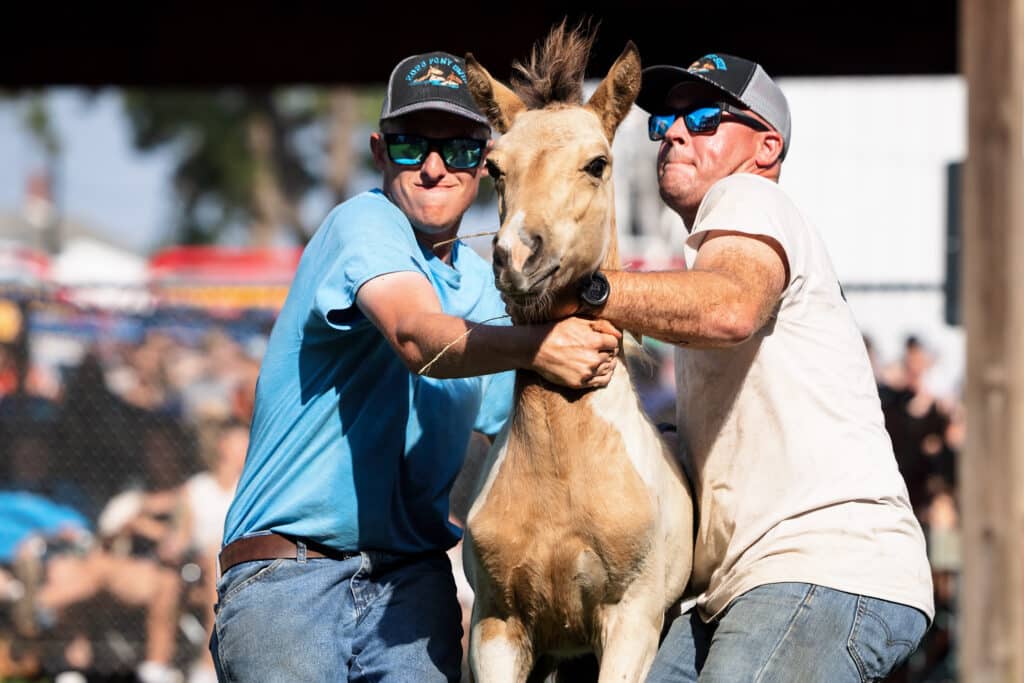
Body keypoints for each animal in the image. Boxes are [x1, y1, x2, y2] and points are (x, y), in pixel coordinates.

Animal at [462, 28, 696, 683]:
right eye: (494, 166)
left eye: (596, 163)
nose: (517, 255)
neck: (562, 479)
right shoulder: (496, 626)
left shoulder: (632, 622)